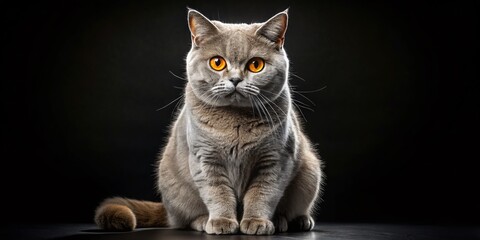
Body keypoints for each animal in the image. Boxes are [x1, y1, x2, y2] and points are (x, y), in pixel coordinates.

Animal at [94, 8, 322, 235]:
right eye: (217, 62)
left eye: (256, 65)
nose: (235, 79)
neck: (235, 123)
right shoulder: (205, 159)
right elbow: (218, 193)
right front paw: (222, 221)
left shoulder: (276, 159)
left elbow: (262, 193)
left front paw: (256, 221)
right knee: (185, 219)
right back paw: (204, 221)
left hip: (310, 171)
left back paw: (293, 221)